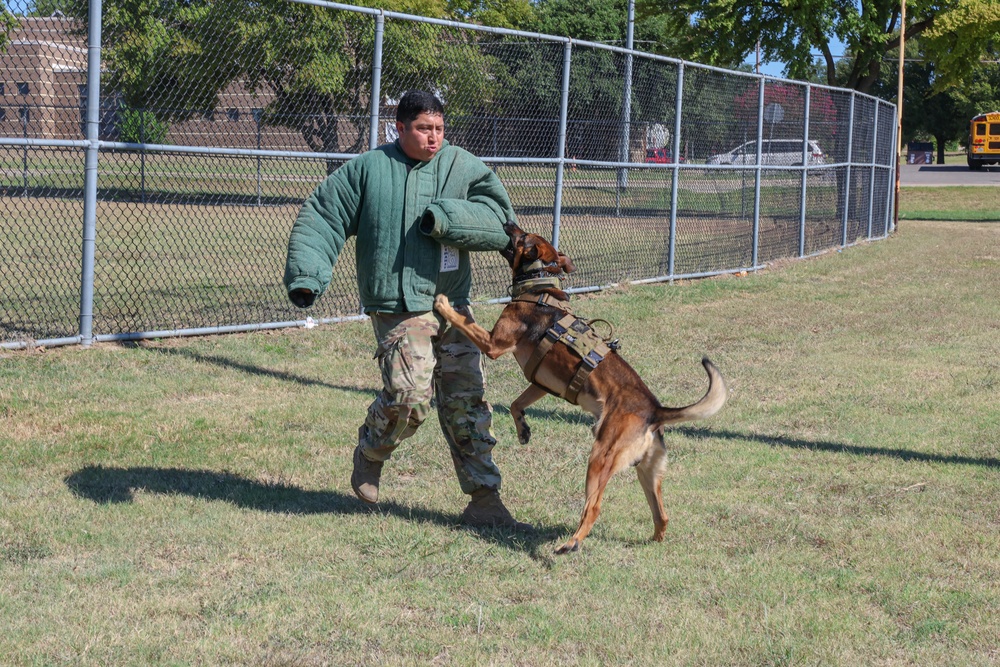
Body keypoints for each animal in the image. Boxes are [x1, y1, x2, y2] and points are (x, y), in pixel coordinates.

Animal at [434, 222, 732, 556]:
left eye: (521, 236)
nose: (508, 223)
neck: (539, 286)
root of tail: (655, 411)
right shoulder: (539, 383)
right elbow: (515, 404)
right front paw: (523, 430)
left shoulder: (494, 344)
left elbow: (463, 321)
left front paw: (443, 304)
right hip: (648, 471)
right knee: (662, 514)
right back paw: (653, 541)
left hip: (600, 459)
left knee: (594, 508)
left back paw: (571, 543)